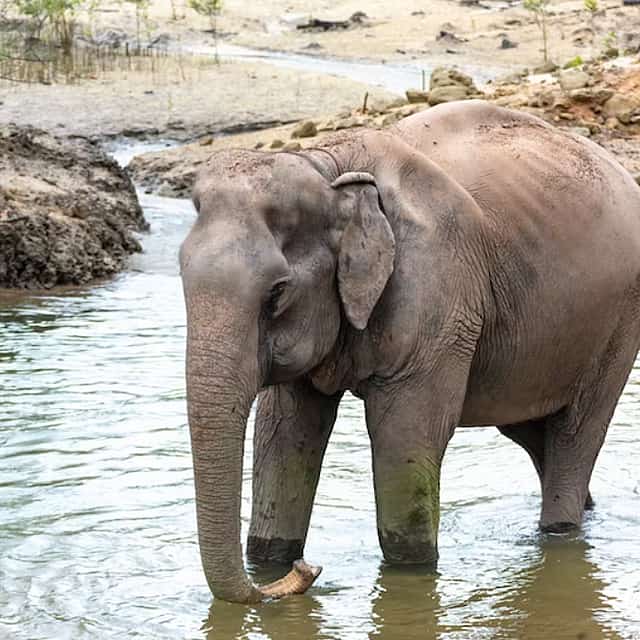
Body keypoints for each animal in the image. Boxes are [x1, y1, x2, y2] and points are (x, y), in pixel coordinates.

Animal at [179, 100, 640, 603]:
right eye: (181, 275)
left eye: (276, 293)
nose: (308, 570)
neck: (326, 165)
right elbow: (285, 430)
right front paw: (271, 558)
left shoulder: (437, 290)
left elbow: (404, 435)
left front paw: (409, 575)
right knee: (534, 433)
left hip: (618, 324)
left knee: (577, 431)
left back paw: (560, 531)